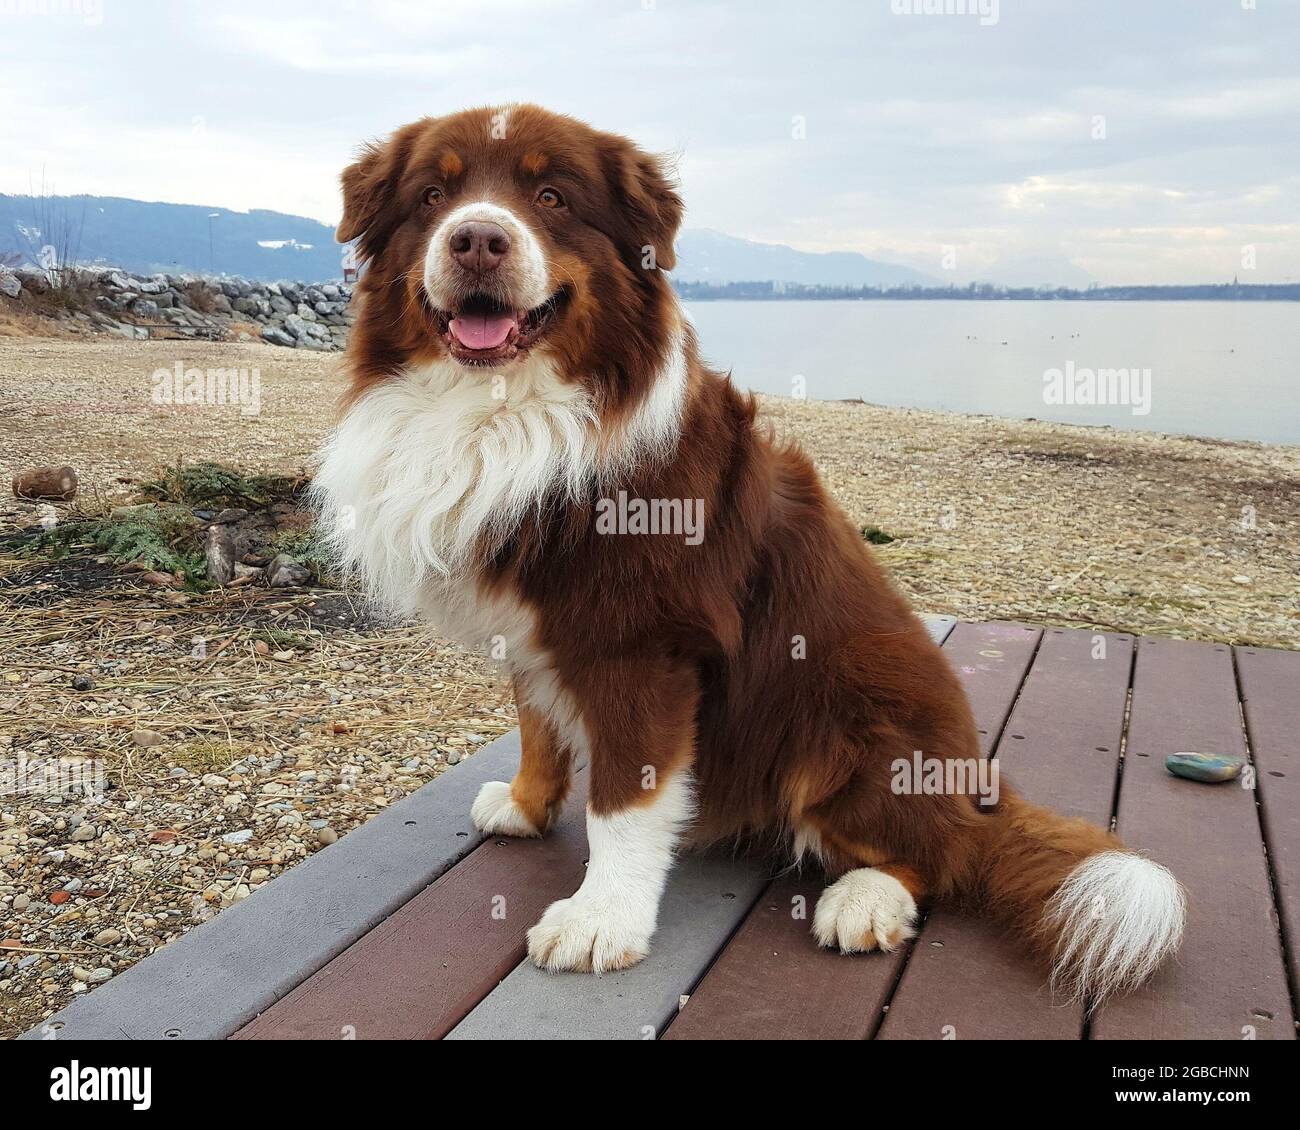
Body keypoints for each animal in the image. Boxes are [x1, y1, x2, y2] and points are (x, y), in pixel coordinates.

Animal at [314, 105, 1190, 998]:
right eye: (433, 196)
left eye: (552, 197)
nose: (478, 240)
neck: (504, 412)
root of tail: (971, 788)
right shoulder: (536, 623)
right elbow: (536, 721)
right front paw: (527, 807)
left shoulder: (643, 642)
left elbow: (625, 804)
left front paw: (603, 919)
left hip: (849, 708)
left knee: (938, 856)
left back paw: (865, 900)